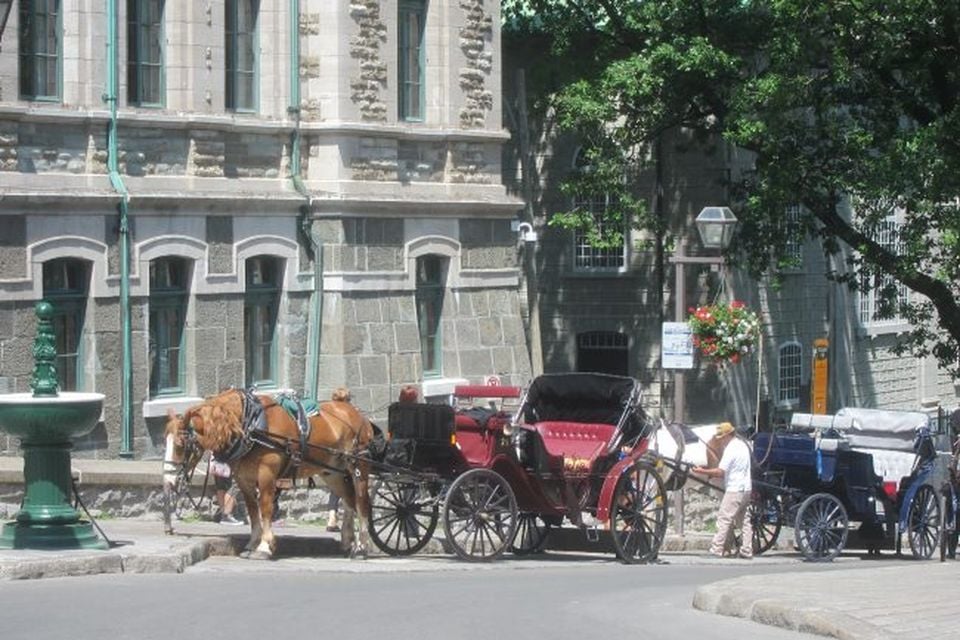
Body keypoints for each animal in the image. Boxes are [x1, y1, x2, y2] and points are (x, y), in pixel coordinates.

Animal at [165, 388, 376, 556]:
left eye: (180, 444)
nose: (168, 479)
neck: (249, 425)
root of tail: (357, 414)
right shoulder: (243, 478)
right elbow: (252, 510)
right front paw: (252, 543)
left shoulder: (267, 474)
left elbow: (265, 507)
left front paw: (265, 546)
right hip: (333, 472)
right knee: (349, 500)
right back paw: (349, 540)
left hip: (359, 466)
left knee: (362, 503)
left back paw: (363, 546)